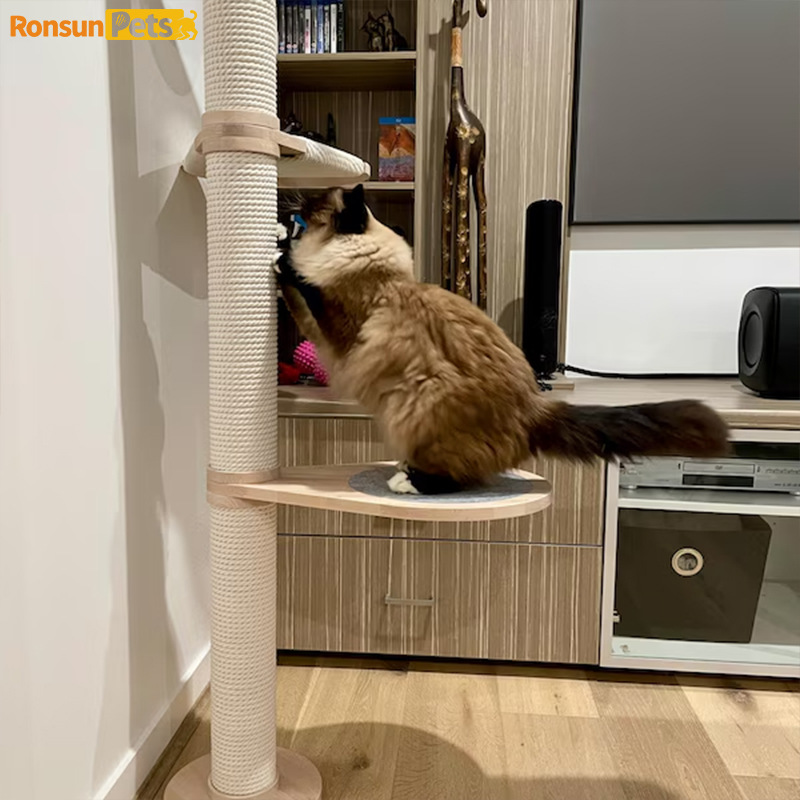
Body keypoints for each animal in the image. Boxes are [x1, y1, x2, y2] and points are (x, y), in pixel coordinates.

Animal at [275, 186, 729, 494]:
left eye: (313, 203)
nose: (292, 203)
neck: (382, 273)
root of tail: (535, 408)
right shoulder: (323, 334)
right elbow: (300, 301)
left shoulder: (340, 330)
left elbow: (304, 285)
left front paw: (282, 255)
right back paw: (406, 469)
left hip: (422, 404)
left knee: (461, 477)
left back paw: (408, 481)